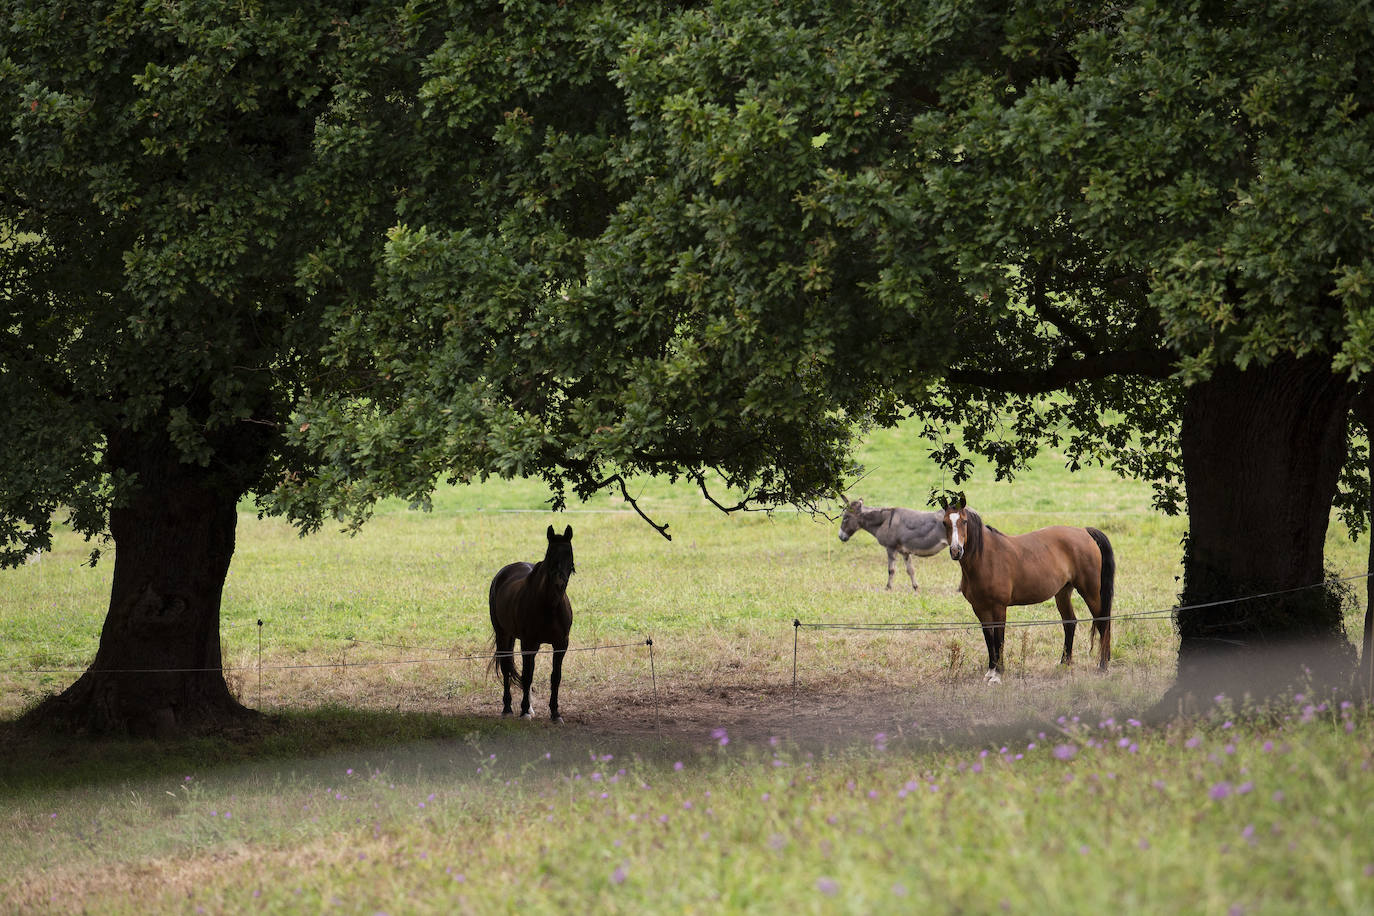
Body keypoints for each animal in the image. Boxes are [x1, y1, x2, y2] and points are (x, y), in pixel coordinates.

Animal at [489, 527, 574, 719]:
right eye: (550, 555)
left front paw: (555, 712)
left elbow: (555, 677)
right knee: (506, 667)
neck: (550, 607)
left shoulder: (561, 644)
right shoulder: (528, 643)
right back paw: (508, 708)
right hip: (503, 634)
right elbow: (526, 675)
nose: (559, 583)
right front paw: (523, 711)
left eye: (569, 554)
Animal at [934, 502, 1115, 681]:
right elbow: (989, 638)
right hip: (1063, 593)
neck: (985, 558)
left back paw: (1103, 665)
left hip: (1090, 592)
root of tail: (1084, 532)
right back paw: (1064, 664)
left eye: (964, 521)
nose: (956, 551)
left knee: (1102, 623)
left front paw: (998, 674)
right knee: (1070, 622)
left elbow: (999, 638)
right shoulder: (979, 608)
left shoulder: (999, 608)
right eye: (945, 523)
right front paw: (991, 671)